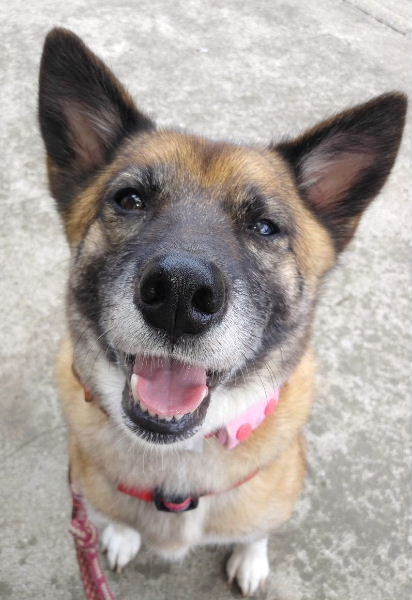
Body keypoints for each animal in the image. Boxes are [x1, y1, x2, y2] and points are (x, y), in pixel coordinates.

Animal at [38, 28, 406, 597]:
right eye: (130, 199)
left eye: (265, 227)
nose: (179, 295)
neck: (178, 462)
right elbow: (116, 519)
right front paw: (121, 533)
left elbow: (257, 532)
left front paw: (251, 558)